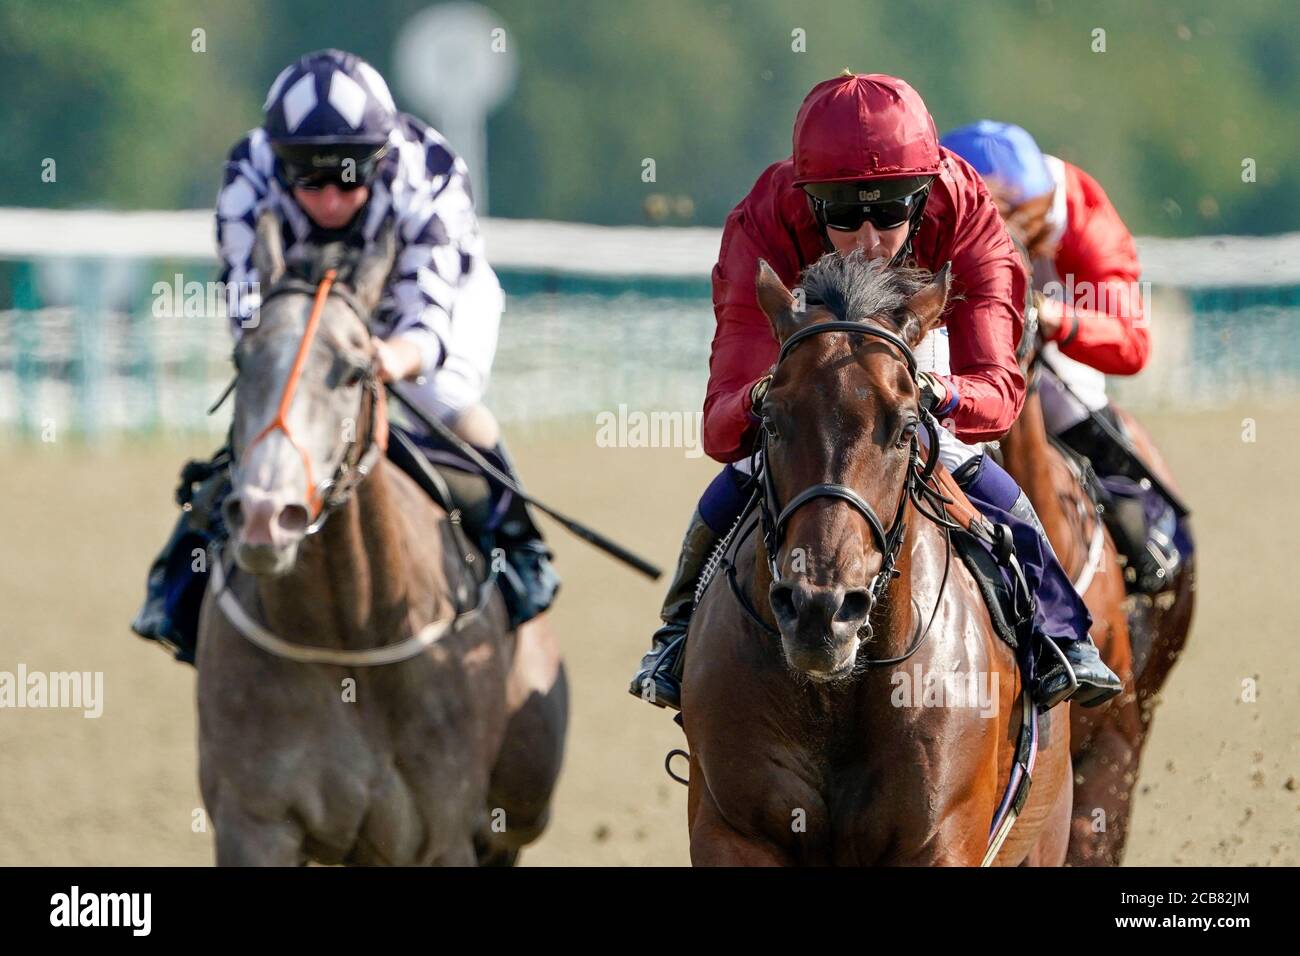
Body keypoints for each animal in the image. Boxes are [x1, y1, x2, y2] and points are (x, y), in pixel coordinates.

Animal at [192, 214, 564, 868]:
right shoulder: (253, 823)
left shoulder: (442, 834)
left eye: (354, 369)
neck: (348, 637)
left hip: (519, 804)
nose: (266, 516)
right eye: (242, 358)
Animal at [681, 257, 1066, 868]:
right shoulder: (733, 830)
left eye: (908, 427)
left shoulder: (941, 837)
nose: (820, 610)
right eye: (770, 422)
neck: (834, 696)